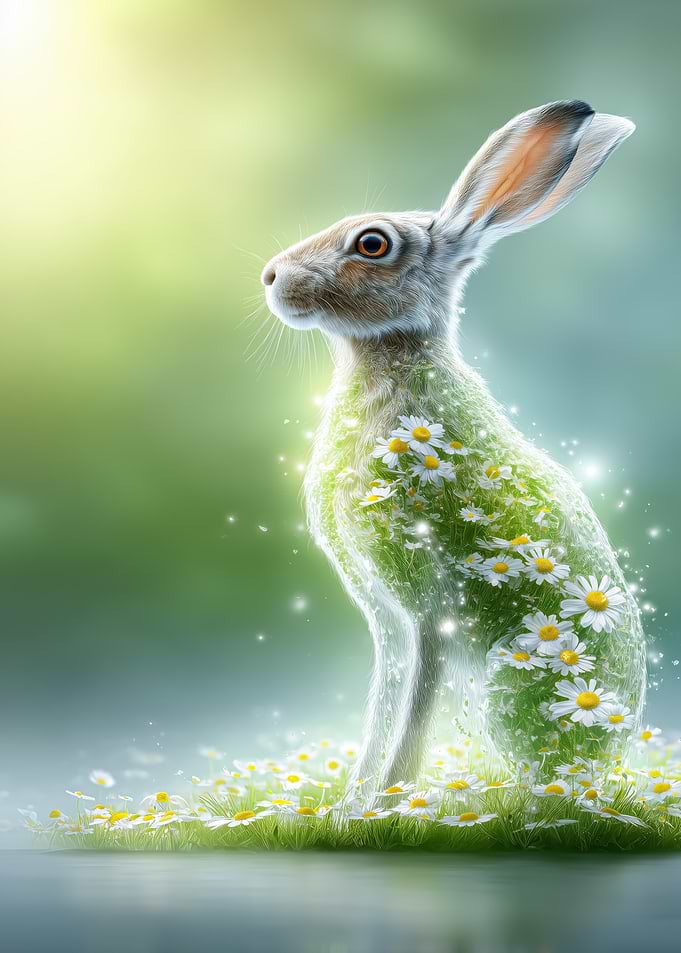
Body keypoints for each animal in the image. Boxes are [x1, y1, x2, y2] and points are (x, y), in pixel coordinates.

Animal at [261, 101, 646, 793]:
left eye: (372, 243)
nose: (272, 277)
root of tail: (605, 759)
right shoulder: (386, 616)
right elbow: (386, 697)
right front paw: (354, 800)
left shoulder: (424, 604)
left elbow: (417, 696)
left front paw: (388, 796)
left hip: (508, 687)